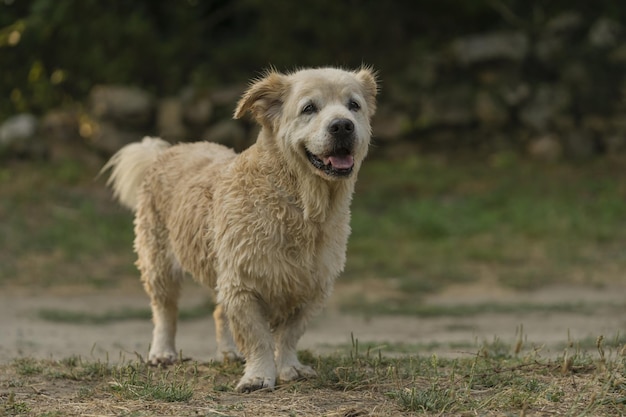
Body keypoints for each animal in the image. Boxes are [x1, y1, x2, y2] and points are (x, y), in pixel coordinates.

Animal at [102, 66, 376, 392]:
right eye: (309, 108)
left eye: (354, 105)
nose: (342, 126)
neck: (300, 205)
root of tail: (166, 151)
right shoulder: (242, 284)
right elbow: (258, 338)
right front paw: (259, 375)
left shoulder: (313, 288)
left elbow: (289, 335)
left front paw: (289, 367)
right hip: (158, 261)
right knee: (164, 310)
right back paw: (162, 352)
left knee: (219, 311)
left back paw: (229, 352)